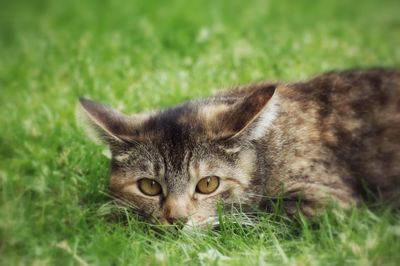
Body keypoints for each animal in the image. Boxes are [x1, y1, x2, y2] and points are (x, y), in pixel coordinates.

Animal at [79, 67, 400, 228]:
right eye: (149, 186)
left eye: (208, 184)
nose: (177, 220)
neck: (267, 153)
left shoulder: (330, 200)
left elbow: (260, 213)